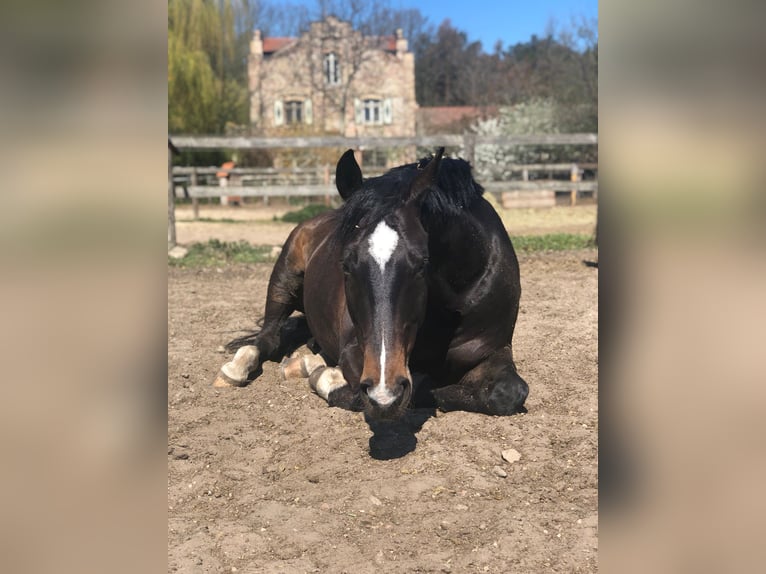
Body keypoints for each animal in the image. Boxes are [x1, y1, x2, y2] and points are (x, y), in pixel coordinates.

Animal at [213, 146, 532, 420]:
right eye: (345, 264)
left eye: (422, 264)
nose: (385, 391)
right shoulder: (357, 351)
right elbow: (372, 391)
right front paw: (326, 377)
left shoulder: (493, 350)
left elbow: (508, 393)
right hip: (284, 278)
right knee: (268, 337)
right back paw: (239, 368)